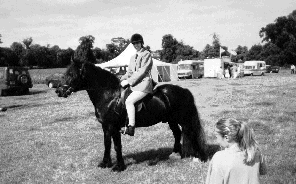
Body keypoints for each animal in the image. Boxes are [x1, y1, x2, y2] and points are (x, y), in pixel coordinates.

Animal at [56, 60, 208, 171]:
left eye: (71, 74)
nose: (59, 91)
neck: (109, 96)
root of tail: (184, 90)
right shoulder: (105, 127)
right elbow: (107, 144)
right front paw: (105, 163)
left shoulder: (113, 127)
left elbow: (117, 146)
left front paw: (119, 167)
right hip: (171, 120)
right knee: (177, 134)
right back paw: (175, 154)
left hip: (184, 120)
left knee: (191, 134)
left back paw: (200, 158)